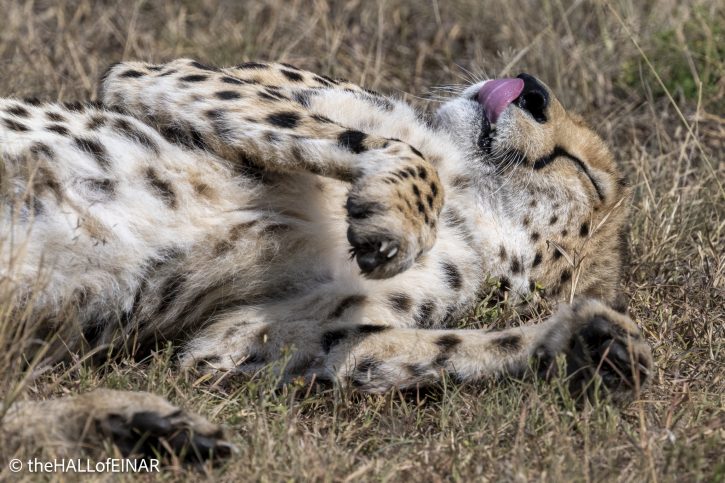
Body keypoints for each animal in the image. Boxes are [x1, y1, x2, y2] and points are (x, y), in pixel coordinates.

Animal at [0, 59, 652, 461]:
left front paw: (584, 344)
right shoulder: (156, 75)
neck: (477, 206)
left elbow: (413, 347)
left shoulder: (235, 343)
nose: (531, 86)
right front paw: (400, 212)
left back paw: (139, 429)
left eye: (584, 172)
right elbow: (394, 146)